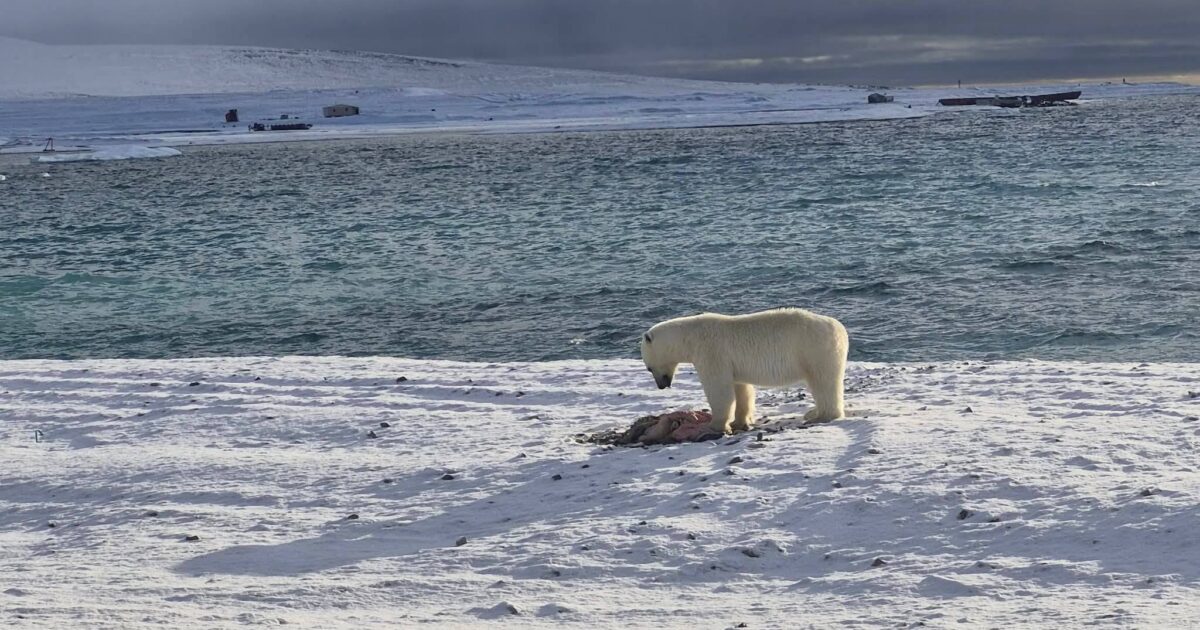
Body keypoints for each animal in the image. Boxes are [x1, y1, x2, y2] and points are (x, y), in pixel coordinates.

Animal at [640, 307, 849, 435]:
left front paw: (715, 425)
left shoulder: (711, 352)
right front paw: (739, 422)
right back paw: (813, 413)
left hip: (814, 349)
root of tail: (840, 329)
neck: (689, 337)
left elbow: (718, 389)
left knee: (823, 381)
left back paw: (821, 416)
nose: (662, 385)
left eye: (649, 368)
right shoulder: (733, 364)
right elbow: (741, 389)